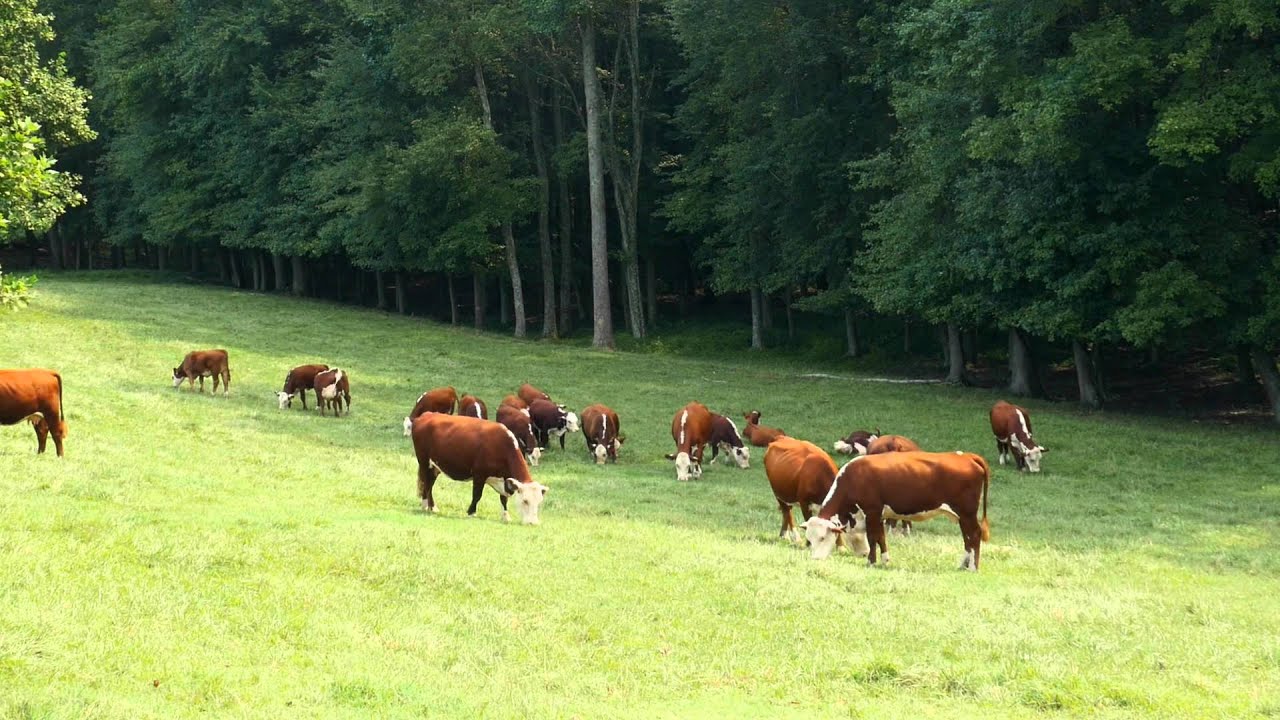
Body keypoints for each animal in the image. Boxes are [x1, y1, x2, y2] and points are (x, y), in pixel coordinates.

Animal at [411, 413, 549, 524]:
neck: (502, 446)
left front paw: (505, 516)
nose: (533, 523)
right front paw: (471, 512)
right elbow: (477, 495)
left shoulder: (504, 479)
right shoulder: (479, 474)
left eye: (539, 502)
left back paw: (426, 505)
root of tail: (426, 415)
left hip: (435, 467)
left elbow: (503, 499)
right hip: (424, 462)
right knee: (427, 484)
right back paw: (430, 506)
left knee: (429, 484)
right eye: (525, 501)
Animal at [801, 451, 991, 571]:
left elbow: (873, 538)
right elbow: (881, 538)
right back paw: (963, 565)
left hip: (967, 513)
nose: (815, 559)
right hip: (962, 516)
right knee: (967, 538)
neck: (853, 479)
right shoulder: (879, 515)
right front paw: (885, 561)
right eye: (809, 539)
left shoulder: (872, 511)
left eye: (823, 537)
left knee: (974, 535)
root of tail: (967, 456)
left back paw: (973, 567)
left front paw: (871, 562)